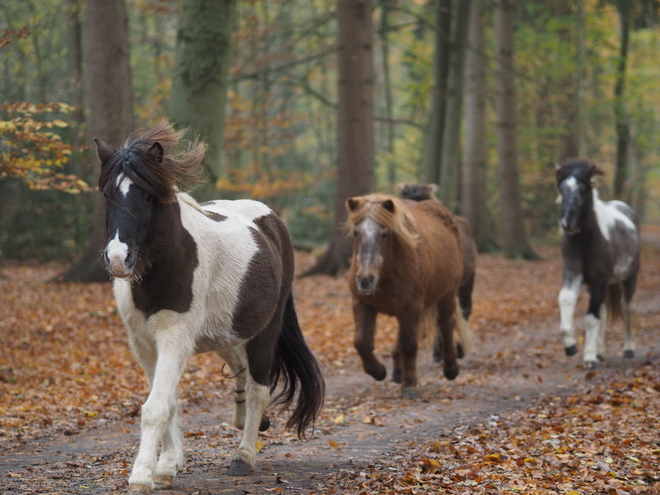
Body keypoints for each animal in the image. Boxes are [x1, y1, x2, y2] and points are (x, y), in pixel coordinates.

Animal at [94, 121, 324, 495]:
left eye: (147, 195)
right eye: (107, 194)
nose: (117, 259)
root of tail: (272, 223)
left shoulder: (175, 336)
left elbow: (156, 406)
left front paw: (142, 476)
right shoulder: (144, 344)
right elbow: (169, 402)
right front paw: (167, 467)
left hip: (266, 331)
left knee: (259, 388)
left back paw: (244, 457)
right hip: (227, 334)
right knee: (241, 370)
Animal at [346, 194, 470, 400]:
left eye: (384, 234)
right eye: (356, 233)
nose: (365, 280)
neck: (387, 271)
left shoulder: (412, 308)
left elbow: (410, 345)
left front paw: (410, 385)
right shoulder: (362, 304)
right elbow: (361, 342)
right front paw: (378, 371)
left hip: (447, 295)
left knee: (446, 324)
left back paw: (451, 369)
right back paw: (397, 372)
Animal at [556, 159, 640, 368]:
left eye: (583, 189)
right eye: (562, 188)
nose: (566, 222)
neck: (586, 241)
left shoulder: (601, 278)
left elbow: (591, 317)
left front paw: (589, 357)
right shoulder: (574, 273)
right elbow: (566, 298)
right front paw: (571, 346)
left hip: (629, 277)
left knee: (627, 307)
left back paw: (628, 349)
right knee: (602, 310)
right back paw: (601, 352)